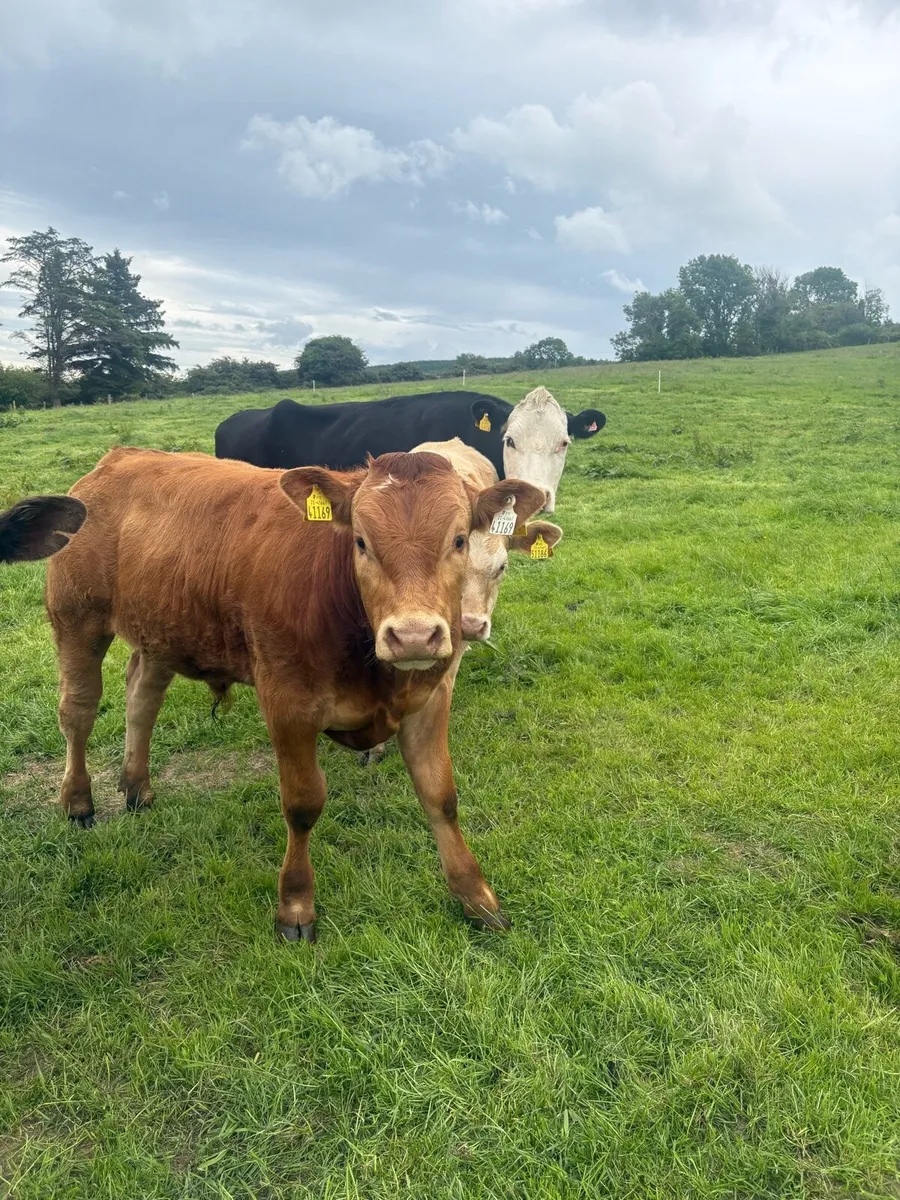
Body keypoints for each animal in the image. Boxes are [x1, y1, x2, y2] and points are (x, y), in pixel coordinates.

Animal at [45, 447, 546, 942]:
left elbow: (441, 796)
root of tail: (118, 458)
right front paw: (296, 905)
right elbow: (303, 805)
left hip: (162, 633)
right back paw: (77, 800)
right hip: (77, 619)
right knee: (78, 711)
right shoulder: (286, 704)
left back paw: (136, 786)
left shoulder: (430, 699)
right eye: (361, 542)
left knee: (142, 698)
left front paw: (475, 895)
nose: (414, 636)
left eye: (459, 540)